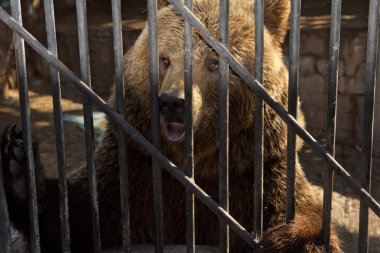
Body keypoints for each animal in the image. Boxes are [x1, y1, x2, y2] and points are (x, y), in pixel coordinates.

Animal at [0, 0, 342, 252]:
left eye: (213, 63)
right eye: (165, 59)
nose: (172, 101)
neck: (199, 162)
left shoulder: (258, 172)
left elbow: (307, 223)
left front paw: (285, 236)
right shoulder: (135, 170)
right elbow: (80, 214)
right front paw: (18, 160)